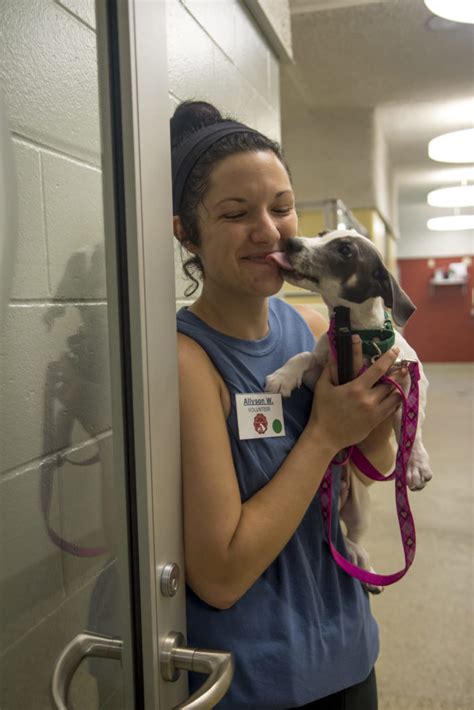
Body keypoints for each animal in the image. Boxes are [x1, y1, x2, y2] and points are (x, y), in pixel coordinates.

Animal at [264, 231, 432, 588]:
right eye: (321, 235)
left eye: (345, 250)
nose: (290, 241)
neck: (357, 335)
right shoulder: (321, 370)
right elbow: (304, 356)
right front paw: (283, 376)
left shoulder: (411, 378)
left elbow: (410, 427)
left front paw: (414, 464)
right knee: (343, 537)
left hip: (360, 508)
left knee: (352, 537)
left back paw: (366, 570)